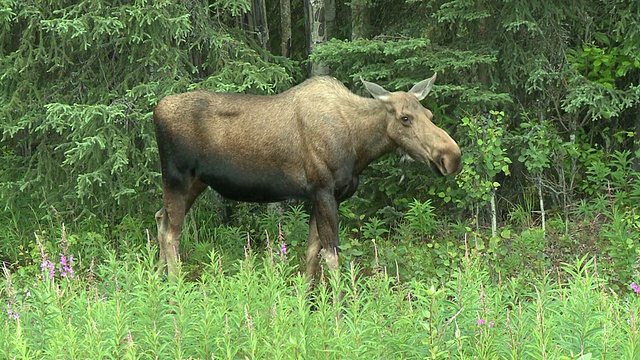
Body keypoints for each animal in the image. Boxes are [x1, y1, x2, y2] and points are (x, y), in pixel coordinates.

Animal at [152, 74, 462, 282]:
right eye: (405, 118)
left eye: (429, 113)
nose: (451, 156)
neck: (359, 148)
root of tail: (155, 110)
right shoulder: (324, 190)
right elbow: (332, 255)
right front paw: (338, 313)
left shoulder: (321, 196)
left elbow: (312, 253)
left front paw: (311, 306)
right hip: (176, 177)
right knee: (171, 233)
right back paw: (175, 289)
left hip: (196, 182)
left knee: (160, 218)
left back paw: (159, 284)